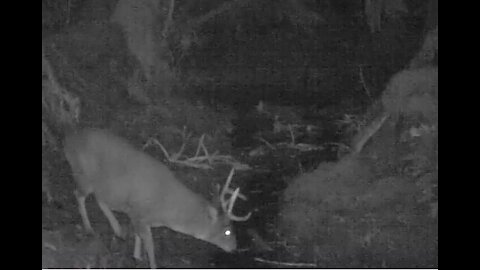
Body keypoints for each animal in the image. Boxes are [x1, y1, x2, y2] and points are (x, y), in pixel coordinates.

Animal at [63, 129, 251, 268]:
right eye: (227, 231)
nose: (234, 248)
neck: (166, 210)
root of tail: (67, 141)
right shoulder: (139, 212)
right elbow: (150, 246)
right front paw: (149, 263)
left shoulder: (137, 214)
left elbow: (139, 236)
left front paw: (136, 256)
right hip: (84, 174)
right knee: (79, 195)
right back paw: (89, 229)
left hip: (103, 185)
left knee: (100, 199)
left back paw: (117, 230)